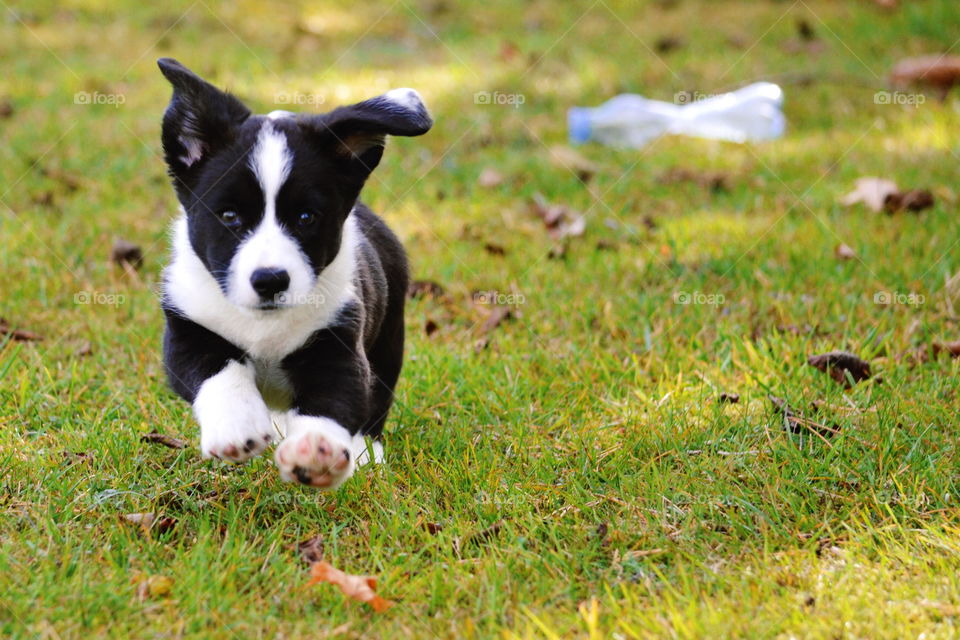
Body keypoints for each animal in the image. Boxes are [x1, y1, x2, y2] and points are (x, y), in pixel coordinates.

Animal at [157, 61, 432, 490]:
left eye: (306, 217)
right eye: (229, 215)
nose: (270, 280)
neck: (265, 325)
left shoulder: (339, 341)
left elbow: (333, 399)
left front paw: (317, 450)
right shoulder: (187, 327)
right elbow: (219, 370)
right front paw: (237, 428)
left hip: (389, 339)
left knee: (375, 404)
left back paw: (366, 453)